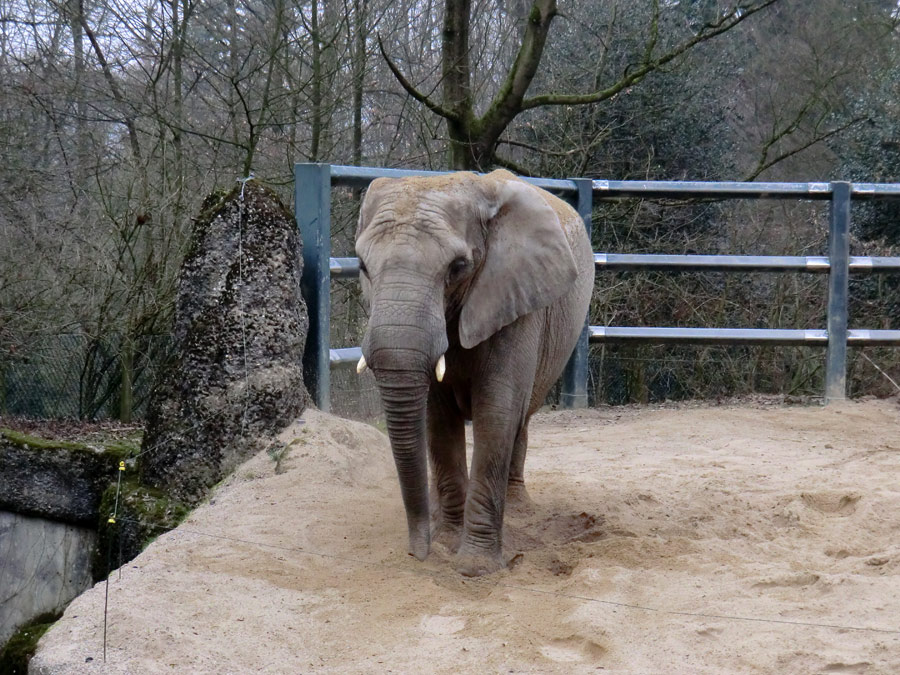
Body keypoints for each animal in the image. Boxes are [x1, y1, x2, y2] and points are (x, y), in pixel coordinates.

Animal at [356, 169, 596, 576]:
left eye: (458, 267)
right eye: (361, 266)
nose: (418, 553)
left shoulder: (516, 295)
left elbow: (496, 411)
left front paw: (474, 567)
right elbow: (437, 419)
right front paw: (447, 539)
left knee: (520, 420)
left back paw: (519, 510)